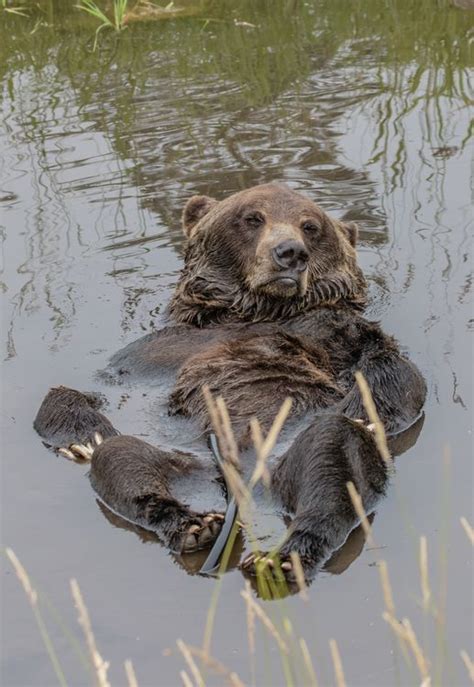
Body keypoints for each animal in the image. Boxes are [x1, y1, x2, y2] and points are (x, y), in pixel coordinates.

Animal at [33, 181, 426, 580]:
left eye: (311, 225)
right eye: (252, 217)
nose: (290, 252)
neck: (260, 310)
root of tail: (244, 483)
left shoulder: (338, 334)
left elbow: (398, 374)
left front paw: (365, 414)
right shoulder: (156, 354)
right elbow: (95, 391)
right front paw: (85, 437)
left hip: (287, 455)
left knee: (333, 462)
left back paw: (284, 556)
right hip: (188, 463)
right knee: (124, 461)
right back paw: (194, 526)